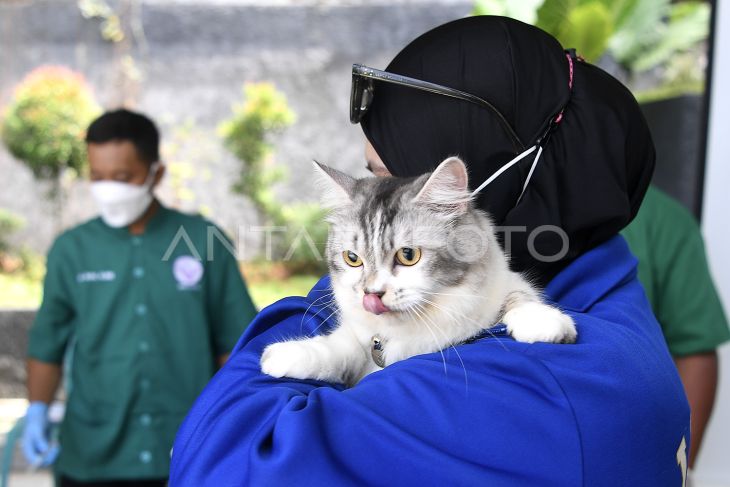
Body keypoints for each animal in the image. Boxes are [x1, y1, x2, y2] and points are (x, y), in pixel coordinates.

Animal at [260, 158, 576, 386]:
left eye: (408, 256)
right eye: (353, 259)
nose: (371, 293)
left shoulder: (505, 286)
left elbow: (519, 299)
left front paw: (541, 323)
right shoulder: (360, 342)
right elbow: (337, 348)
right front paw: (280, 356)